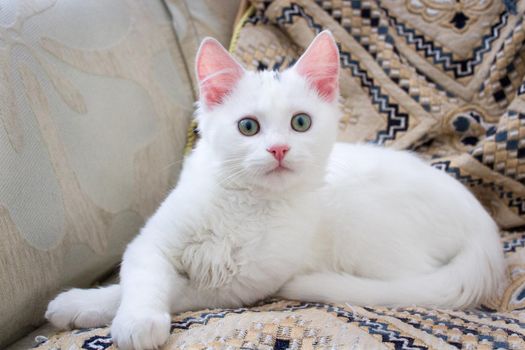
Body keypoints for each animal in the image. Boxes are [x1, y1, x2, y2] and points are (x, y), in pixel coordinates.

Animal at [45, 30, 504, 350]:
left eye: (300, 123)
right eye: (248, 127)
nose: (279, 148)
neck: (243, 204)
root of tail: (485, 227)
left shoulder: (239, 286)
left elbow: (169, 287)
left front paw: (118, 318)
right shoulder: (152, 241)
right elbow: (142, 277)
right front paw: (103, 310)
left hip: (367, 229)